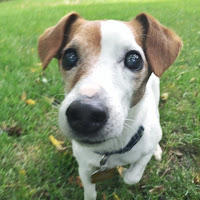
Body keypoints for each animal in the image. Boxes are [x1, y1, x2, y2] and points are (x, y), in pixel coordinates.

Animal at [38, 12, 183, 198]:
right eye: (69, 57)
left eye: (134, 60)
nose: (85, 113)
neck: (110, 150)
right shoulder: (84, 167)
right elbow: (90, 192)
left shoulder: (144, 152)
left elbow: (132, 176)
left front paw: (127, 172)